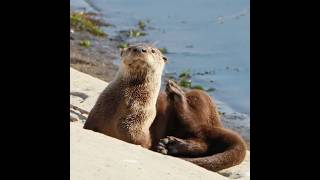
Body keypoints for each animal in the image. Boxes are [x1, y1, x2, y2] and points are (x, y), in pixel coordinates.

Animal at [84, 43, 246, 172]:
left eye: (153, 50)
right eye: (131, 47)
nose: (140, 49)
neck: (121, 108)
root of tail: (217, 122)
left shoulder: (138, 128)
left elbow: (145, 142)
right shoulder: (95, 117)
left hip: (201, 99)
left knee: (200, 134)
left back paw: (176, 96)